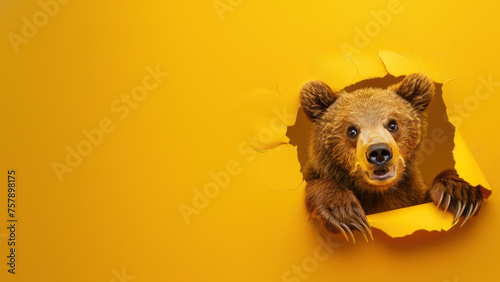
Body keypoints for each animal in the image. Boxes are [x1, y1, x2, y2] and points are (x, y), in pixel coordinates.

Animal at [300, 73, 484, 242]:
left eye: (392, 124)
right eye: (351, 130)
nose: (379, 152)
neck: (378, 192)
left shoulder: (408, 194)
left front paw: (459, 193)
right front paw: (345, 214)